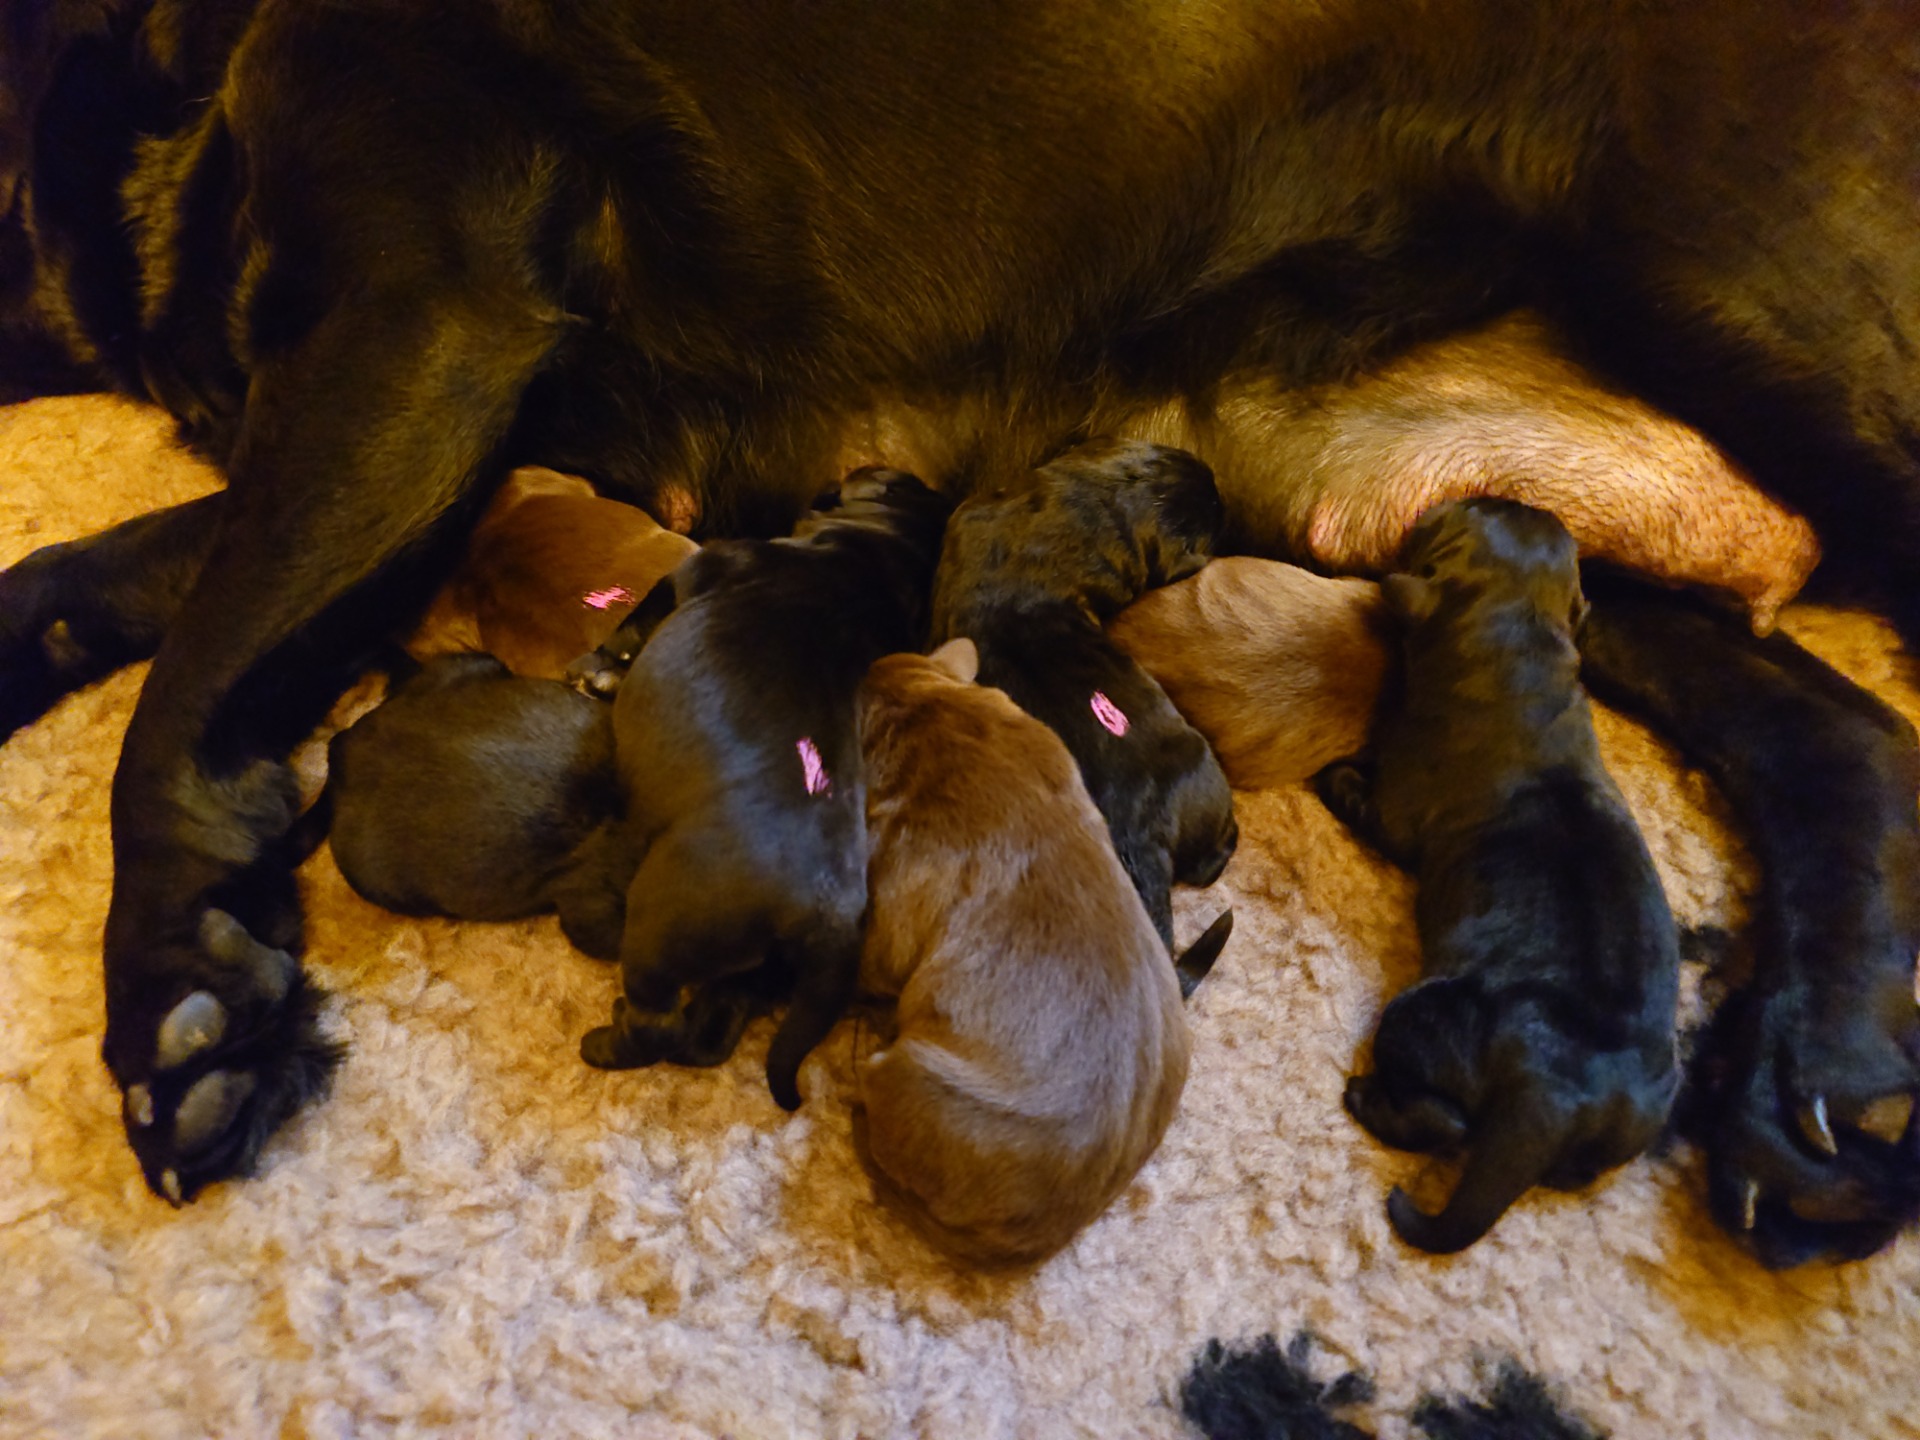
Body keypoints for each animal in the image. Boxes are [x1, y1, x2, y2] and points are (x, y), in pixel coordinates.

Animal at [572, 469, 949, 1111]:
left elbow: (646, 604)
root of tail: (826, 913)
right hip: (747, 969)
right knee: (709, 1032)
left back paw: (603, 1041)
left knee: (656, 1025)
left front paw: (605, 663)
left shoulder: (704, 564)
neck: (877, 556)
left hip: (662, 925)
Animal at [1316, 499, 1681, 1253]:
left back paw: (1367, 1099)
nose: (1445, 500)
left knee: (1448, 1123)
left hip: (1416, 1017)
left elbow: (1359, 794)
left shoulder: (1395, 809)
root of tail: (1551, 1096)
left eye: (1456, 520)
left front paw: (1333, 775)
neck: (1517, 656)